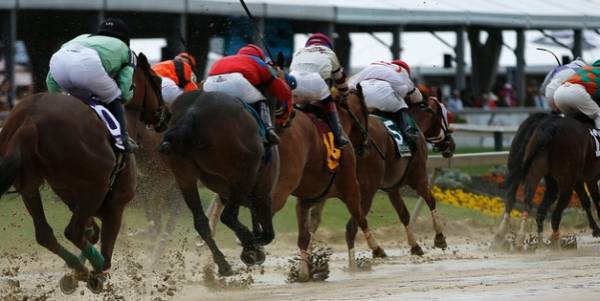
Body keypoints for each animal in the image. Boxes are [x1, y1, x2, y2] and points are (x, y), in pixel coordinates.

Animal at [0, 52, 170, 292]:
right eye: (157, 80)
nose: (167, 114)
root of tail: (30, 119)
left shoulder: (77, 200)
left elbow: (91, 232)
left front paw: (78, 270)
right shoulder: (115, 205)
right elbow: (103, 247)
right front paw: (95, 272)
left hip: (28, 186)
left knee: (45, 233)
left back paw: (78, 268)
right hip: (95, 188)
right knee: (72, 231)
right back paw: (91, 267)